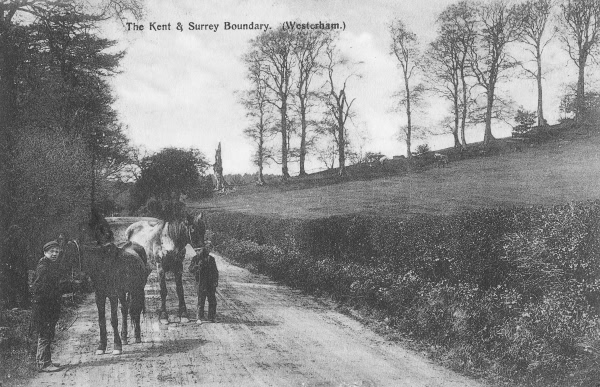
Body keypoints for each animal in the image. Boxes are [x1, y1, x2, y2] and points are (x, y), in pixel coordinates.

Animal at [77, 211, 150, 356]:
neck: (103, 265)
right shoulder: (99, 296)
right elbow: (101, 321)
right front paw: (101, 347)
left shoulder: (112, 296)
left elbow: (113, 319)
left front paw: (117, 346)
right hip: (123, 292)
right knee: (125, 309)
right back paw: (125, 337)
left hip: (137, 290)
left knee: (136, 309)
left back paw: (137, 336)